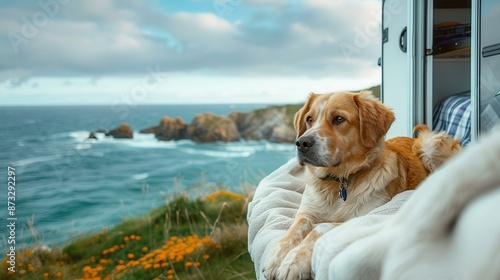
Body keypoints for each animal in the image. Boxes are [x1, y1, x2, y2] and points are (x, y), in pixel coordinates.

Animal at [264, 91, 462, 278]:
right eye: (309, 119)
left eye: (339, 119)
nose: (302, 143)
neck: (338, 182)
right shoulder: (306, 213)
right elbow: (294, 229)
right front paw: (277, 256)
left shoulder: (362, 217)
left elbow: (320, 228)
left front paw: (294, 261)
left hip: (430, 146)